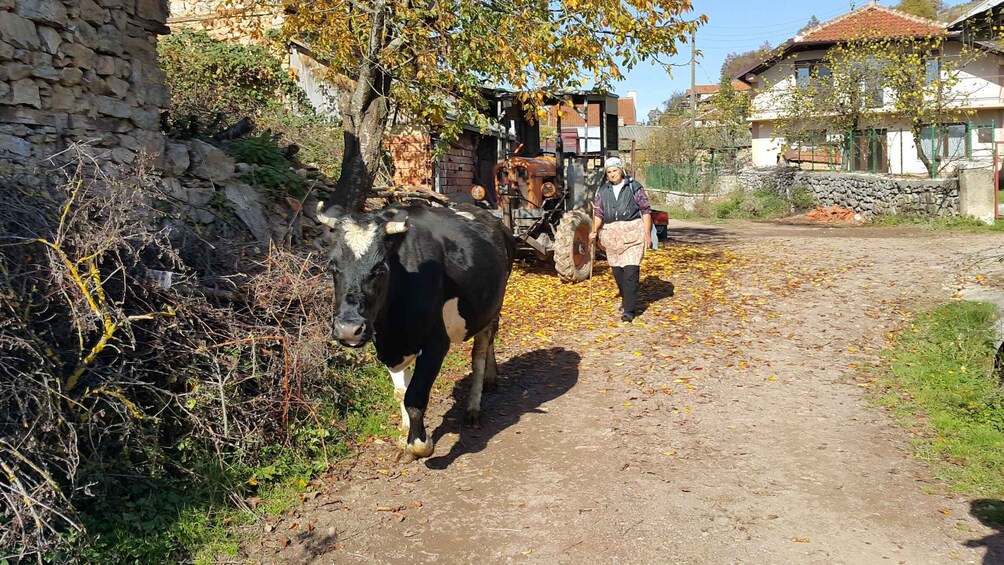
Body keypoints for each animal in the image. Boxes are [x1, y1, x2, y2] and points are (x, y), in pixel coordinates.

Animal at [315, 202, 518, 459]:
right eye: (332, 265)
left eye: (379, 268)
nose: (349, 329)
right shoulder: (387, 348)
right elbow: (401, 393)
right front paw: (404, 435)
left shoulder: (435, 343)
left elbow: (415, 396)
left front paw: (420, 443)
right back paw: (492, 378)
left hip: (493, 307)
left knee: (479, 354)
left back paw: (474, 407)